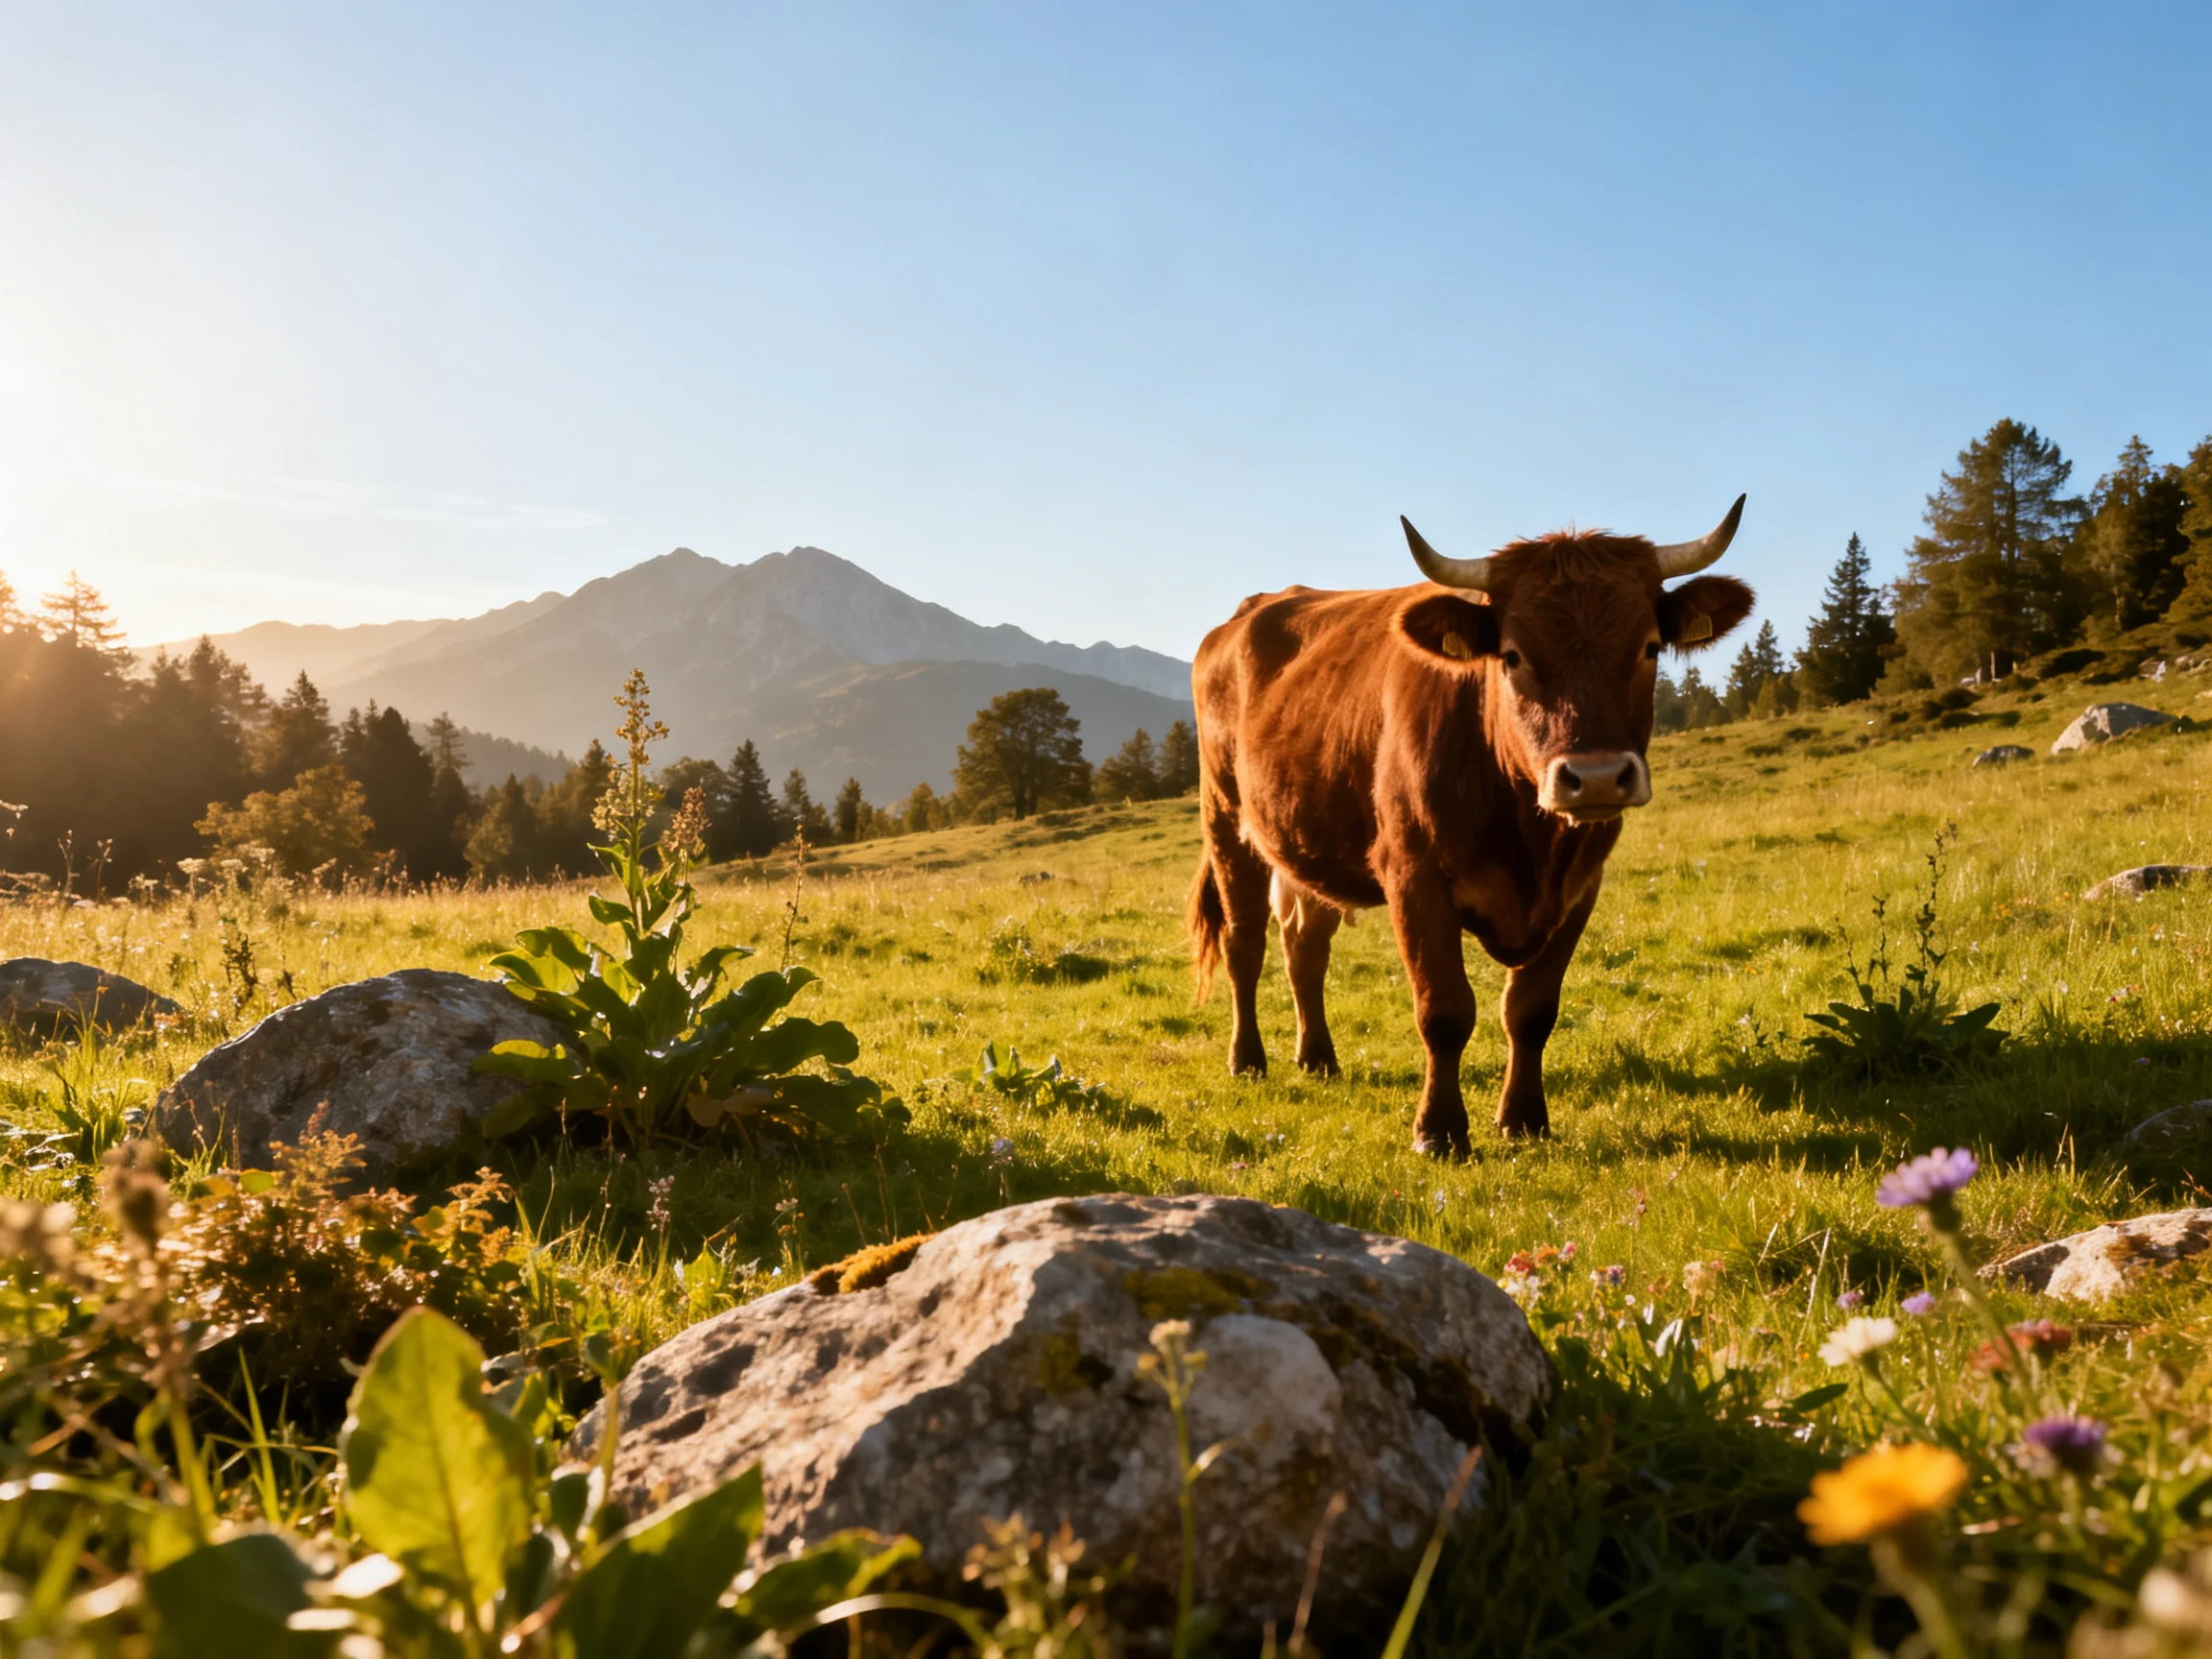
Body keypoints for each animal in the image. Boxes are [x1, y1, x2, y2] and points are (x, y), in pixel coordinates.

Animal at [1186, 498, 1753, 1154]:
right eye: (1512, 654)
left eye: (1651, 647)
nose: (1597, 777)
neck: (1529, 839)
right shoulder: (1414, 878)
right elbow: (1444, 1011)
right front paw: (1439, 1132)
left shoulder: (1581, 887)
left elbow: (1531, 1009)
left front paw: (1524, 1119)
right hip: (1226, 821)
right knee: (1244, 944)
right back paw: (1248, 1059)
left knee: (1304, 946)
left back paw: (1318, 1058)